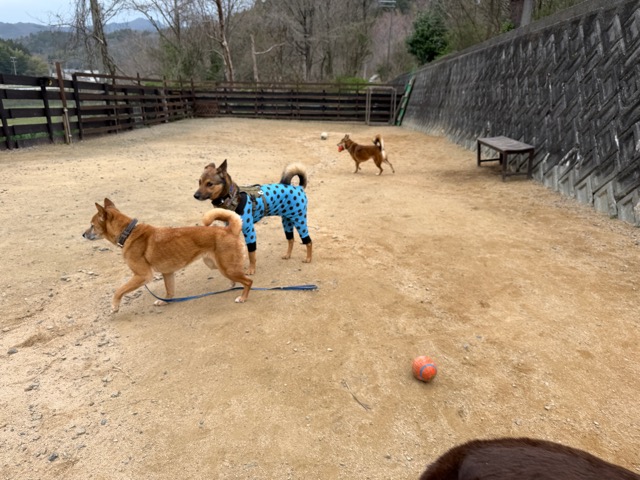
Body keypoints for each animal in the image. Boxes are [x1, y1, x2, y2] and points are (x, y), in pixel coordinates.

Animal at [83, 198, 252, 312]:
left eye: (92, 225)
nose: (82, 235)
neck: (128, 232)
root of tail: (229, 229)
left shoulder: (142, 276)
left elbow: (119, 290)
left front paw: (114, 306)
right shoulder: (168, 273)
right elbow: (169, 291)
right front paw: (164, 302)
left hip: (226, 268)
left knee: (248, 281)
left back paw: (243, 297)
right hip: (215, 265)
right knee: (239, 278)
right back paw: (232, 285)